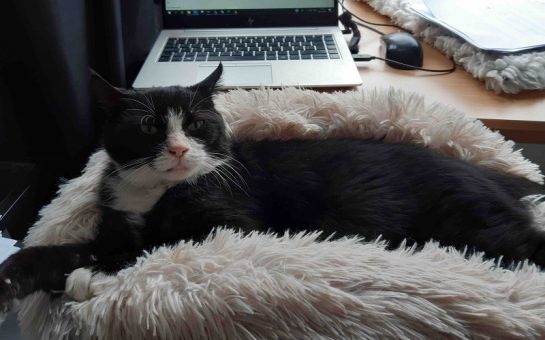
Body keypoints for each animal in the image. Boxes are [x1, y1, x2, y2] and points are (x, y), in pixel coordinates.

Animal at [1, 62, 544, 312]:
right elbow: (80, 247)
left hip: (477, 221)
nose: (178, 149)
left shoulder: (232, 221)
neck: (154, 190)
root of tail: (491, 174)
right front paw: (18, 273)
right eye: (150, 126)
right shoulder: (115, 219)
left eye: (196, 124)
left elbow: (163, 243)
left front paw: (95, 277)